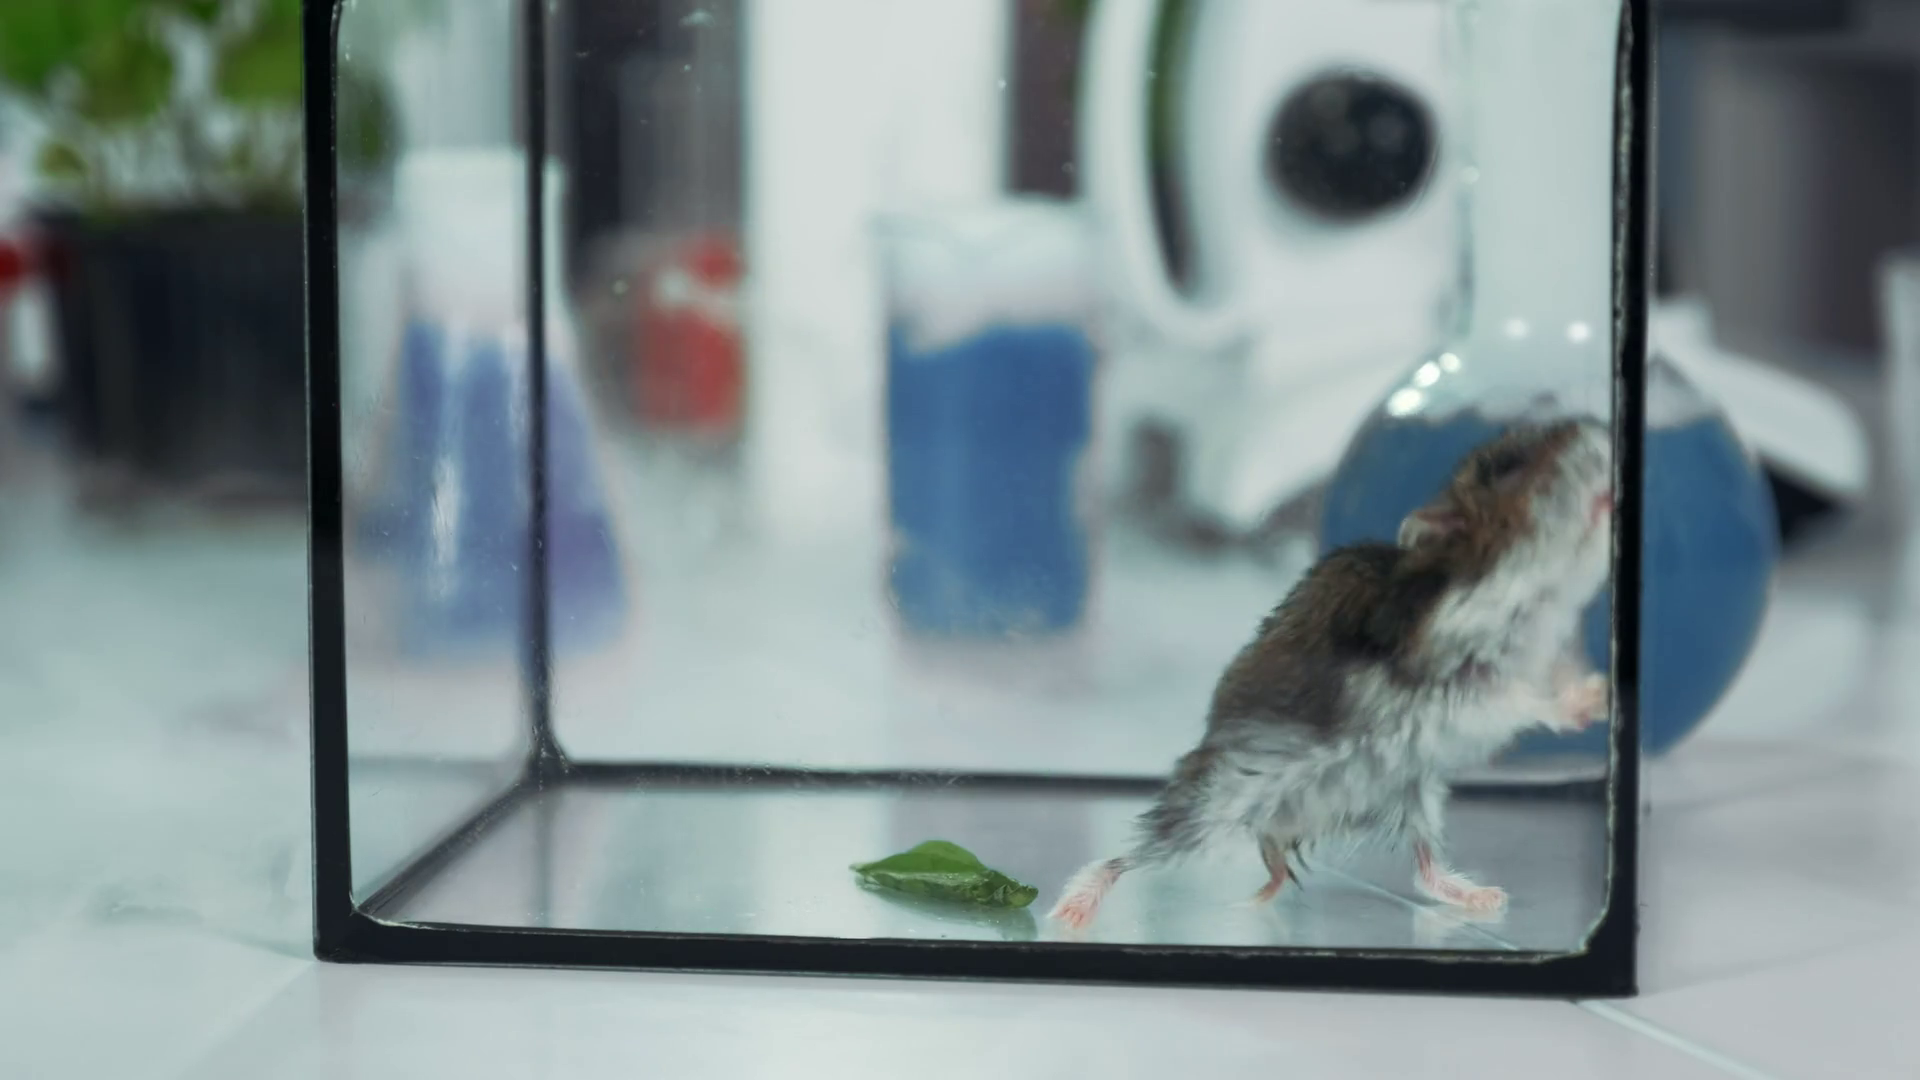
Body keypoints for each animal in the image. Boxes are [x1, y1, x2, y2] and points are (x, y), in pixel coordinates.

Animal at [1050, 418, 1615, 930]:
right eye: (1508, 468)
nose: (1598, 431)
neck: (1539, 595)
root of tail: (1284, 827)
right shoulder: (1455, 677)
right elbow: (1518, 697)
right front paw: (1594, 700)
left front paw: (1601, 694)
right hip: (1214, 801)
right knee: (1126, 857)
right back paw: (1071, 911)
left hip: (1415, 794)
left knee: (1425, 869)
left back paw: (1486, 898)